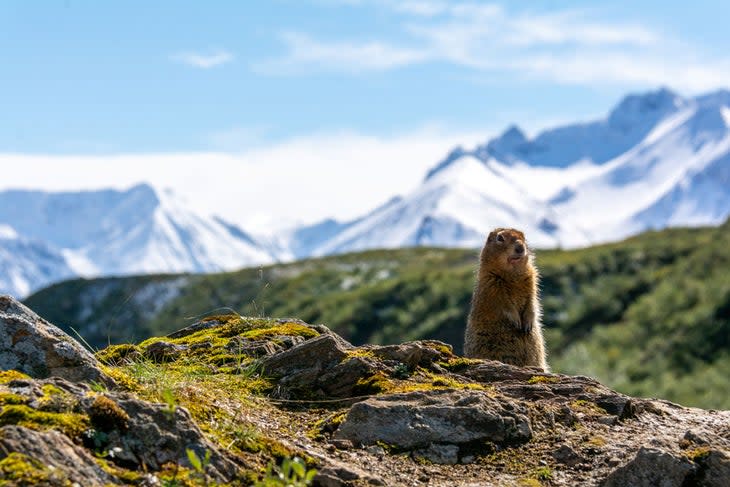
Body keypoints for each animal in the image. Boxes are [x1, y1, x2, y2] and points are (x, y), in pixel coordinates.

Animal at [460, 227, 544, 372]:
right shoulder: (492, 284)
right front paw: (516, 321)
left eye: (524, 237)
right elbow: (503, 303)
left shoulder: (532, 280)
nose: (520, 247)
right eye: (500, 238)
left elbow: (532, 301)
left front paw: (528, 323)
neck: (512, 274)